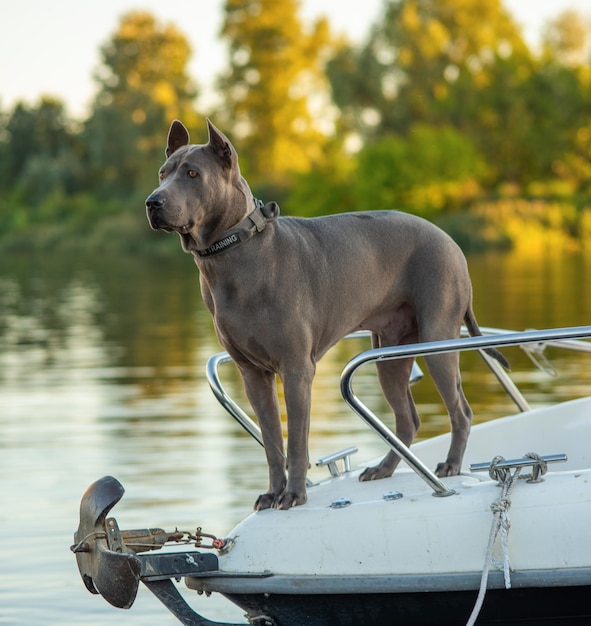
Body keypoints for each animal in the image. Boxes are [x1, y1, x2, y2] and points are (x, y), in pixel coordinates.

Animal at [145, 119, 508, 510]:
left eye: (192, 174)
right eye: (162, 173)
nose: (153, 201)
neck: (234, 252)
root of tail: (452, 241)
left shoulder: (295, 368)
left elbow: (296, 440)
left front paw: (293, 495)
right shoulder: (252, 374)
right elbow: (272, 443)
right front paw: (272, 492)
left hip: (436, 340)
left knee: (460, 411)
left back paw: (451, 466)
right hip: (390, 355)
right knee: (407, 419)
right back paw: (382, 469)